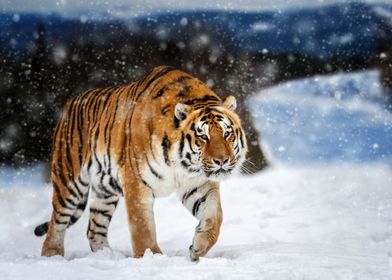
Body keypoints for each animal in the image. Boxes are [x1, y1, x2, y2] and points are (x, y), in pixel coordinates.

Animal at [35, 65, 247, 260]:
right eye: (203, 136)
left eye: (227, 134)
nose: (222, 160)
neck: (181, 165)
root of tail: (71, 102)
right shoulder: (136, 182)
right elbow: (142, 227)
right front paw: (150, 256)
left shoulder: (198, 184)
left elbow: (215, 215)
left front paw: (198, 247)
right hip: (69, 181)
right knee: (56, 223)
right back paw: (52, 256)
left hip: (105, 190)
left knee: (94, 228)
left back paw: (107, 256)